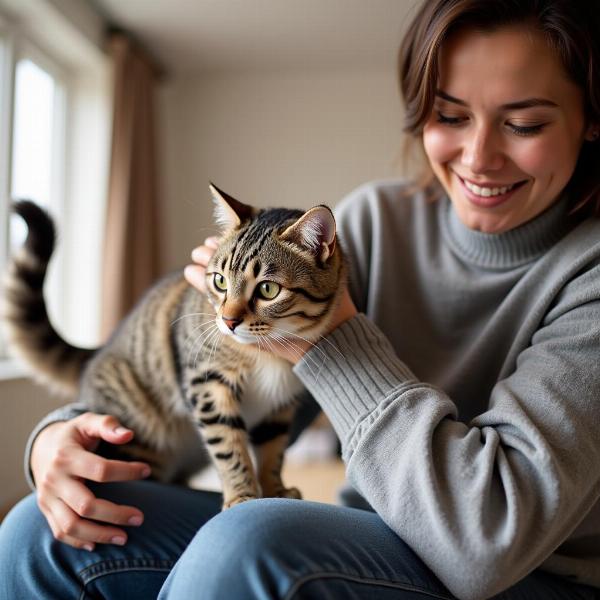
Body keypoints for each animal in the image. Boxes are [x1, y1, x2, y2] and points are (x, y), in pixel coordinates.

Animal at [2, 185, 346, 508]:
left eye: (268, 289)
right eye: (220, 281)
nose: (228, 321)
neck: (267, 351)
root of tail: (98, 354)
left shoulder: (280, 405)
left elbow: (273, 451)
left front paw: (274, 490)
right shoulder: (206, 383)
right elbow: (228, 446)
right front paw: (242, 495)